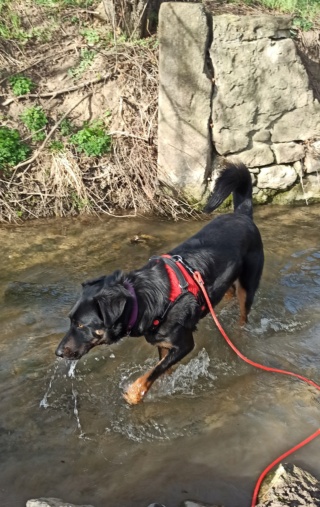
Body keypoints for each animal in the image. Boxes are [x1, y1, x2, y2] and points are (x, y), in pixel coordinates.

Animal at [55, 163, 264, 404]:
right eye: (71, 321)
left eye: (81, 325)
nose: (58, 353)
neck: (142, 299)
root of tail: (242, 215)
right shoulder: (164, 343)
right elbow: (161, 369)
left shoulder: (183, 344)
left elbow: (153, 372)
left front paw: (134, 394)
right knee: (227, 292)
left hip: (248, 285)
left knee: (243, 312)